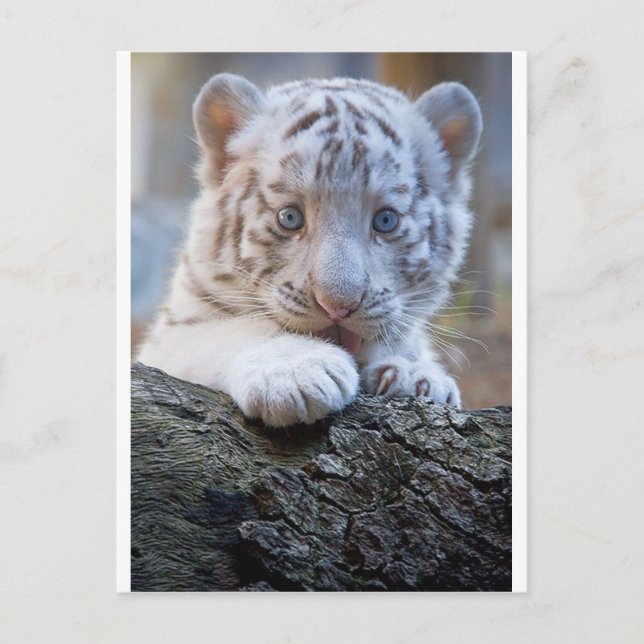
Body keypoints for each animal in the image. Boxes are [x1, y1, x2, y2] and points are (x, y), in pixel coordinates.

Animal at [137, 73, 482, 428]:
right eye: (290, 217)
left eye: (386, 220)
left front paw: (416, 376)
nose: (339, 307)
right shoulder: (168, 340)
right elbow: (232, 330)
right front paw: (293, 372)